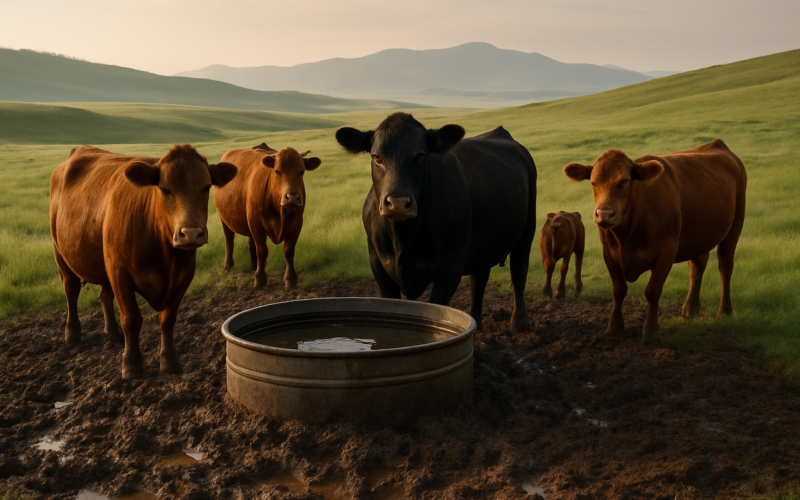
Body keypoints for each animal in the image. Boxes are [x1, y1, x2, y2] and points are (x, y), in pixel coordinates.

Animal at [49, 145, 237, 379]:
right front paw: (131, 365)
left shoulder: (184, 274)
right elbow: (131, 319)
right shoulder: (120, 273)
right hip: (61, 254)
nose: (191, 233)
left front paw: (170, 361)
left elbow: (168, 319)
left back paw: (112, 333)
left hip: (104, 263)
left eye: (205, 187)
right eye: (164, 189)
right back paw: (72, 334)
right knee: (71, 290)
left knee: (104, 296)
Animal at [213, 143, 321, 289]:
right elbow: (262, 250)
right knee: (229, 239)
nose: (292, 197)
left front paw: (290, 278)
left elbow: (289, 251)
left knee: (250, 242)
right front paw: (260, 278)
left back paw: (254, 266)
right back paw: (228, 265)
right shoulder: (256, 223)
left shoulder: (297, 223)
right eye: (277, 171)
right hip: (224, 218)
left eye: (302, 171)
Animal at [335, 112, 537, 331]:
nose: (398, 203)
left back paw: (519, 322)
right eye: (377, 157)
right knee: (479, 278)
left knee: (518, 271)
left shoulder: (451, 265)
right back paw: (477, 323)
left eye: (420, 156)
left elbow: (436, 308)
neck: (404, 237)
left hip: (528, 229)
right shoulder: (378, 264)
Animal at [563, 140, 747, 341]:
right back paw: (691, 307)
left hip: (735, 224)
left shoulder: (666, 253)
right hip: (699, 234)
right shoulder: (609, 254)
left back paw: (724, 311)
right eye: (593, 182)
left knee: (725, 265)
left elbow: (652, 291)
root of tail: (718, 145)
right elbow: (619, 290)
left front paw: (651, 331)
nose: (604, 214)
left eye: (624, 181)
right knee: (698, 265)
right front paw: (614, 326)